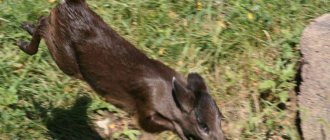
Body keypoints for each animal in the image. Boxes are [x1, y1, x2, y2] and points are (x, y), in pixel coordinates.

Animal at [16, 0, 226, 139]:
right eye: (202, 125)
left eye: (221, 119)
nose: (221, 138)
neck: (167, 94)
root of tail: (72, 4)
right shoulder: (143, 106)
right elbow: (160, 124)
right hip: (65, 58)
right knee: (43, 23)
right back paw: (23, 42)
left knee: (44, 19)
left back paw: (25, 27)